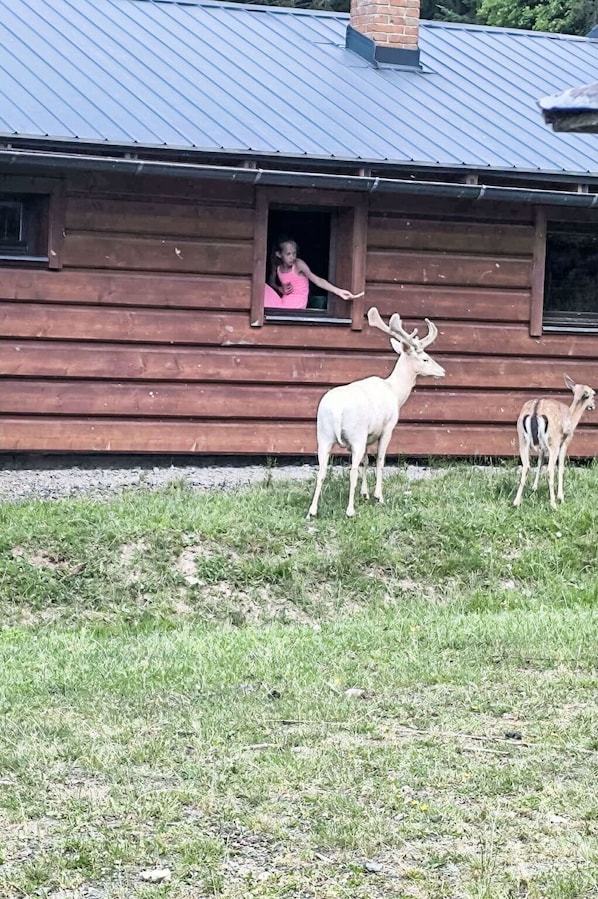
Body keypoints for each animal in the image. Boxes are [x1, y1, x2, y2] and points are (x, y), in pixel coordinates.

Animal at [307, 307, 446, 519]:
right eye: (425, 358)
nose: (442, 371)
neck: (395, 392)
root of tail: (337, 411)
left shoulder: (368, 436)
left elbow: (366, 460)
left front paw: (364, 493)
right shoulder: (388, 427)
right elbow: (380, 460)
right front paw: (378, 496)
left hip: (323, 434)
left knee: (322, 470)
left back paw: (312, 511)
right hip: (355, 434)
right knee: (352, 470)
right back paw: (350, 510)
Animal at [513, 374, 595, 510]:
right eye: (593, 394)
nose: (593, 406)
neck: (573, 419)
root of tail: (536, 410)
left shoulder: (542, 447)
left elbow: (539, 462)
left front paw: (534, 488)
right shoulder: (565, 440)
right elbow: (561, 467)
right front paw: (561, 497)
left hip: (522, 439)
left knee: (526, 466)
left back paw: (516, 502)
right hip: (553, 441)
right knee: (549, 470)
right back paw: (553, 504)